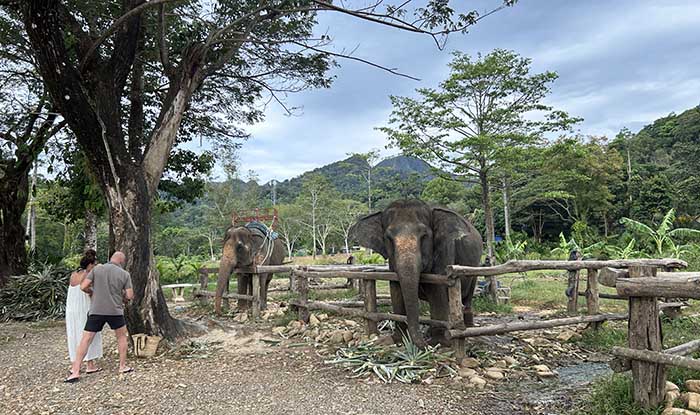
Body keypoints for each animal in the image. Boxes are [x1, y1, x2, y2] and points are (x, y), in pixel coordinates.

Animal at [349, 199, 483, 348]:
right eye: (388, 238)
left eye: (424, 236)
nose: (425, 346)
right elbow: (396, 290)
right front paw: (396, 339)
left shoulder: (444, 252)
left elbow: (437, 291)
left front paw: (439, 342)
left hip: (475, 266)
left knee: (468, 294)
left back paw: (468, 326)